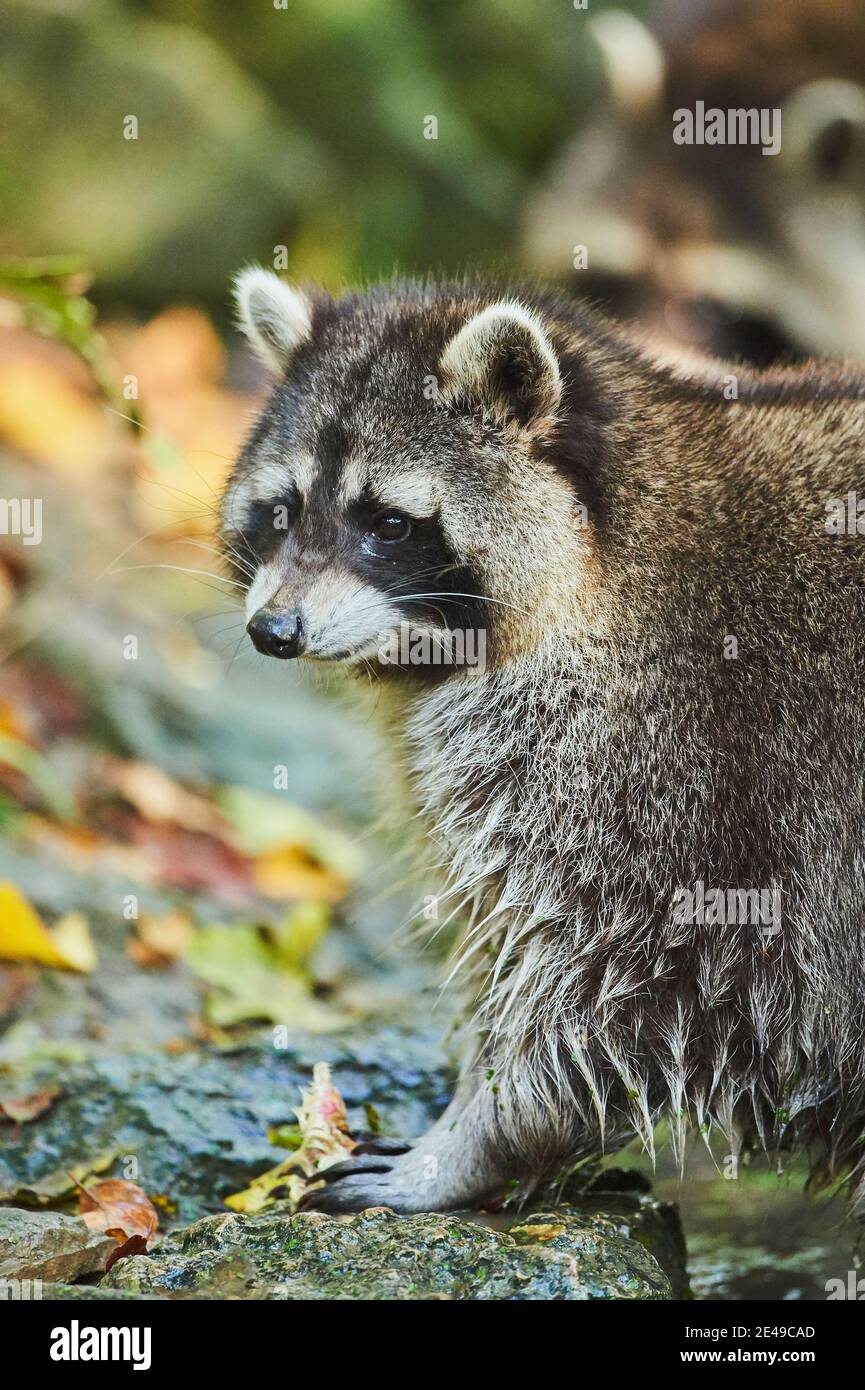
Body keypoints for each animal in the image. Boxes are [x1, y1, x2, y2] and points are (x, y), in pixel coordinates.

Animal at [221, 267, 865, 1214]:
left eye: (387, 523)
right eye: (282, 510)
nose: (272, 631)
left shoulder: (659, 761)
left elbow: (619, 982)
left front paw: (477, 1138)